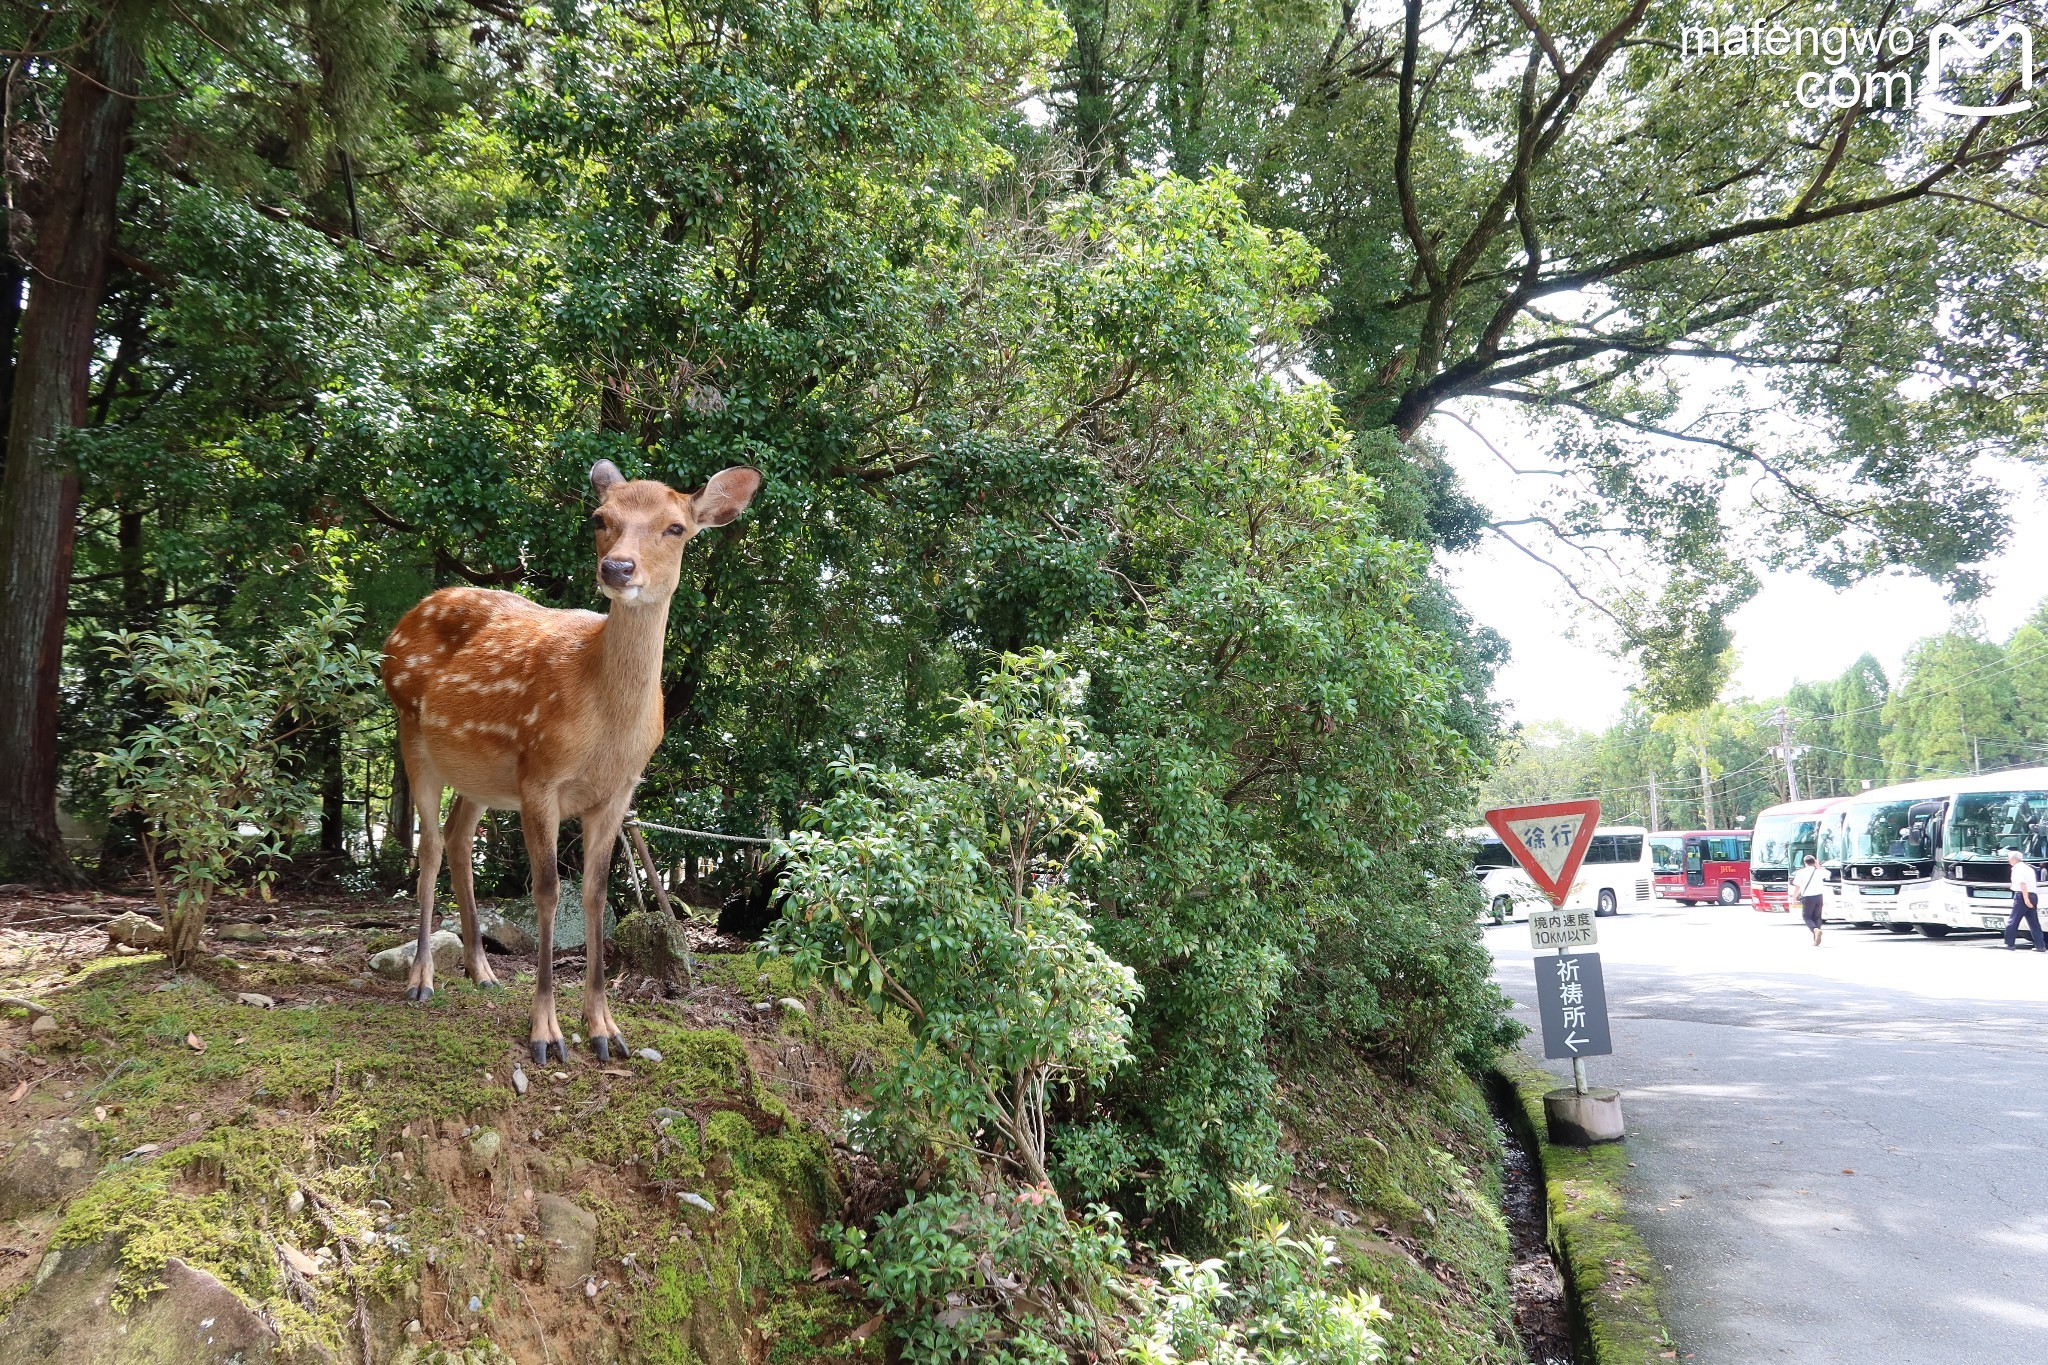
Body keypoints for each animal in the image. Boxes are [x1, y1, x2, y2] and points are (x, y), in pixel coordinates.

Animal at [378, 464, 761, 1064]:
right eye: (601, 519)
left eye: (676, 527)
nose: (617, 567)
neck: (608, 728)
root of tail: (398, 627)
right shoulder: (541, 776)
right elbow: (548, 893)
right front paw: (546, 1034)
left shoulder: (618, 793)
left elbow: (597, 896)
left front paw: (605, 1030)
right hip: (411, 731)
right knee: (432, 845)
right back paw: (422, 979)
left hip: (481, 774)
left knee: (459, 839)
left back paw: (482, 971)